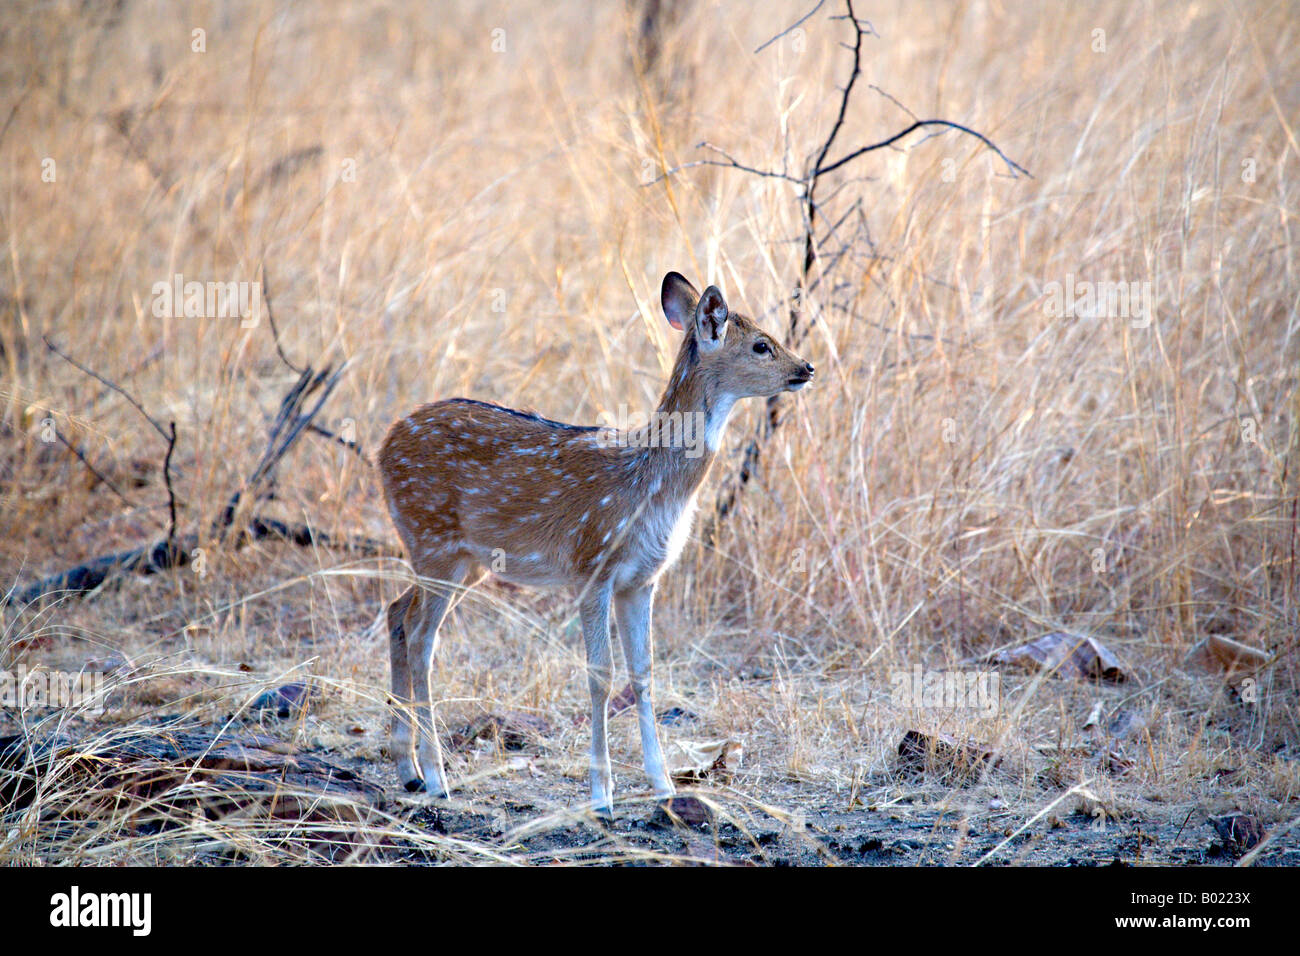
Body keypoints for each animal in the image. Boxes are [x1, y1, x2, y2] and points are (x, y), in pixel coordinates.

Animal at [377, 271, 814, 816]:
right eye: (761, 345)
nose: (806, 367)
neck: (652, 485)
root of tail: (382, 446)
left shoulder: (642, 580)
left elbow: (643, 672)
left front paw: (663, 785)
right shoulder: (593, 564)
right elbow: (601, 674)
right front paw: (601, 795)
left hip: (460, 558)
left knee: (397, 611)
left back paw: (408, 769)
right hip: (432, 537)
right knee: (422, 636)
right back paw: (437, 777)